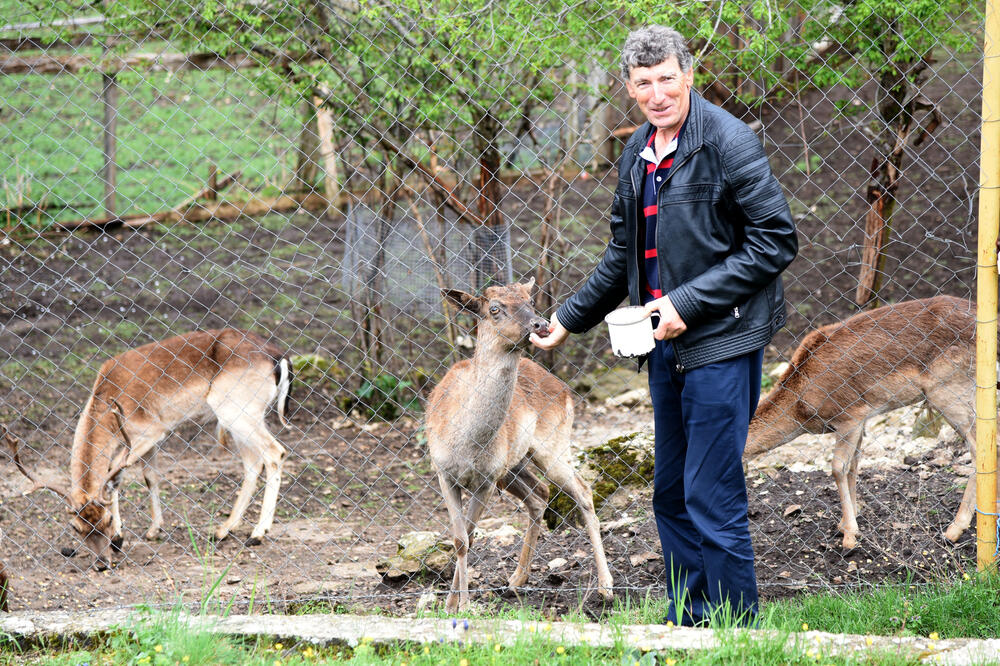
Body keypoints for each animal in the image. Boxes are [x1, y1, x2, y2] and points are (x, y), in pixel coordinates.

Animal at [3, 326, 292, 564]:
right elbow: (146, 477)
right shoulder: (140, 443)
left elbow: (116, 477)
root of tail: (277, 357)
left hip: (237, 412)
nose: (102, 563)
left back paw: (257, 534)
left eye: (106, 519)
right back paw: (222, 530)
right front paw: (152, 531)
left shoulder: (152, 431)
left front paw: (119, 538)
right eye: (76, 527)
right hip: (239, 419)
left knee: (275, 453)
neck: (109, 397)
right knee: (253, 464)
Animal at [424, 278, 612, 608]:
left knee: (582, 490)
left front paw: (463, 604)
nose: (540, 324)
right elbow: (459, 538)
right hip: (514, 464)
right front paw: (448, 605)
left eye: (531, 300)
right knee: (539, 494)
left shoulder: (486, 479)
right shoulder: (443, 471)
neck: (465, 443)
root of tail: (566, 391)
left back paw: (606, 587)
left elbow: (469, 536)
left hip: (553, 445)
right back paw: (515, 580)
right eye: (494, 309)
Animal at [744, 294, 992, 548]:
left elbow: (838, 468)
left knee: (978, 448)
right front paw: (846, 522)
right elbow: (854, 465)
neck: (801, 408)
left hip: (949, 390)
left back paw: (954, 530)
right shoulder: (862, 418)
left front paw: (850, 536)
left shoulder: (849, 415)